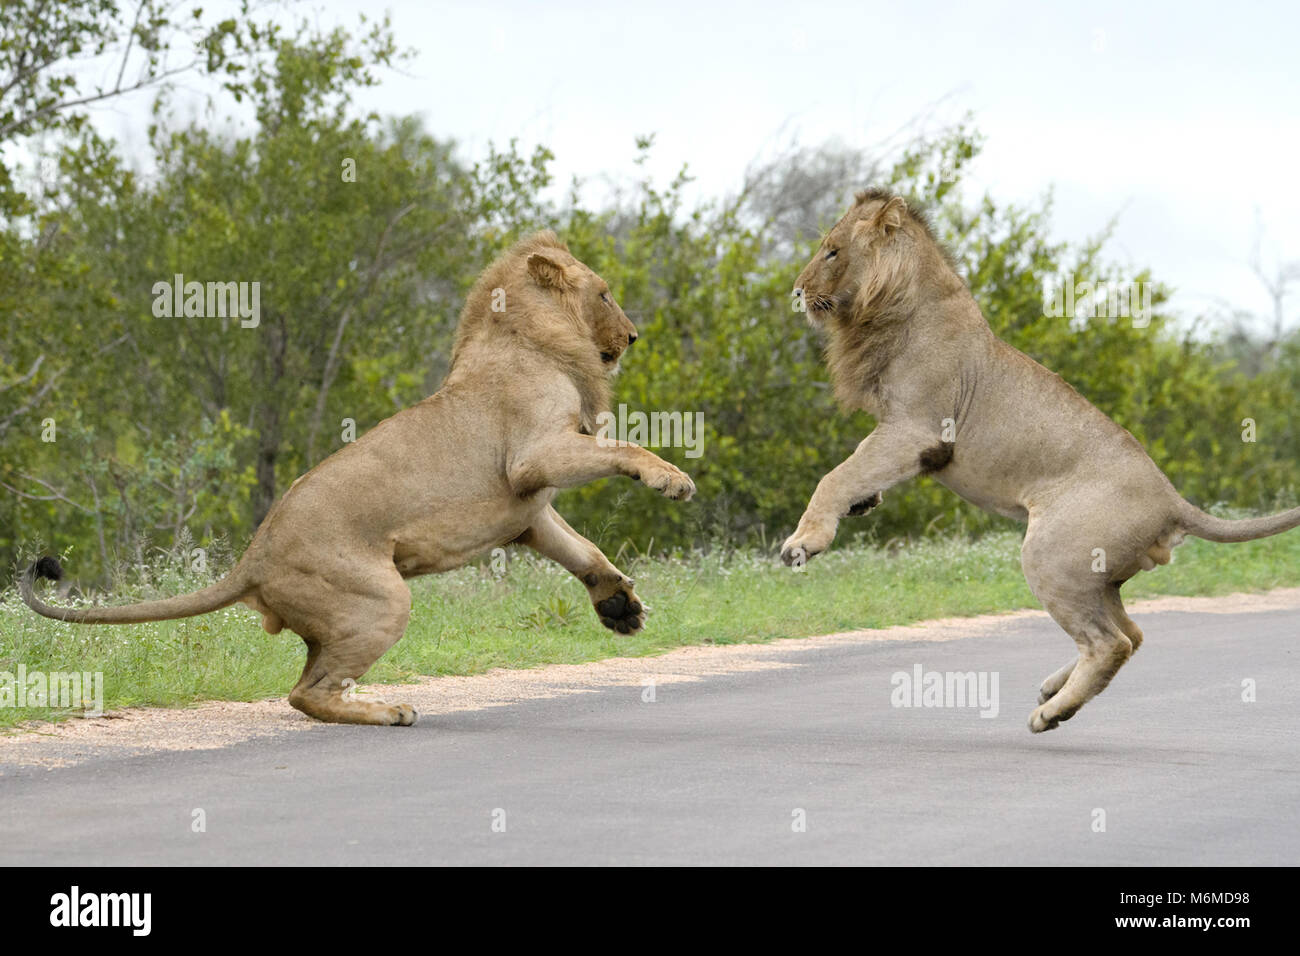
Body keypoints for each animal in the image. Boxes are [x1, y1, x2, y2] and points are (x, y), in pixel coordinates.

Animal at [20, 231, 696, 723]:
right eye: (605, 294)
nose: (633, 336)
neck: (528, 336)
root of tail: (253, 557)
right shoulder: (534, 457)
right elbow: (626, 445)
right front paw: (671, 480)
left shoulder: (529, 511)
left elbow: (584, 551)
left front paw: (620, 607)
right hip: (382, 599)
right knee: (305, 693)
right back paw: (389, 711)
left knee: (305, 684)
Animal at [780, 191, 1300, 738]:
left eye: (832, 252)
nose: (796, 291)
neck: (891, 307)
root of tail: (1174, 500)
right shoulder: (901, 434)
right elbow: (856, 471)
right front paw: (864, 502)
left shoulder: (916, 429)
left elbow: (834, 476)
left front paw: (802, 545)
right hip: (1098, 576)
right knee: (1132, 632)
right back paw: (1053, 689)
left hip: (1051, 556)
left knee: (1110, 642)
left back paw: (1052, 713)